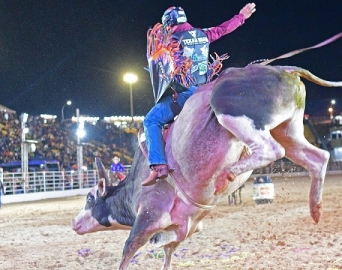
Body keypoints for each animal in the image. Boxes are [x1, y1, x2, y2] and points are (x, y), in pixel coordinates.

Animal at [71, 64, 342, 268]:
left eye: (89, 198)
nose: (74, 223)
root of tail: (283, 68)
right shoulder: (180, 230)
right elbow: (167, 254)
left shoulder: (149, 215)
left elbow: (128, 250)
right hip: (289, 130)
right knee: (318, 157)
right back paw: (316, 209)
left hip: (229, 109)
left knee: (272, 150)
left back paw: (227, 175)